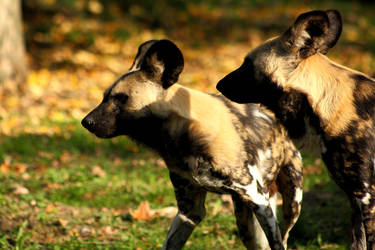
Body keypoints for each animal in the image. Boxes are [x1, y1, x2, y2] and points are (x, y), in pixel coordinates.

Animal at [81, 39, 302, 250]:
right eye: (104, 98)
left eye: (121, 99)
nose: (85, 122)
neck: (183, 135)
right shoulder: (189, 211)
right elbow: (170, 244)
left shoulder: (257, 199)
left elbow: (277, 243)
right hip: (245, 223)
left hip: (290, 202)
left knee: (284, 235)